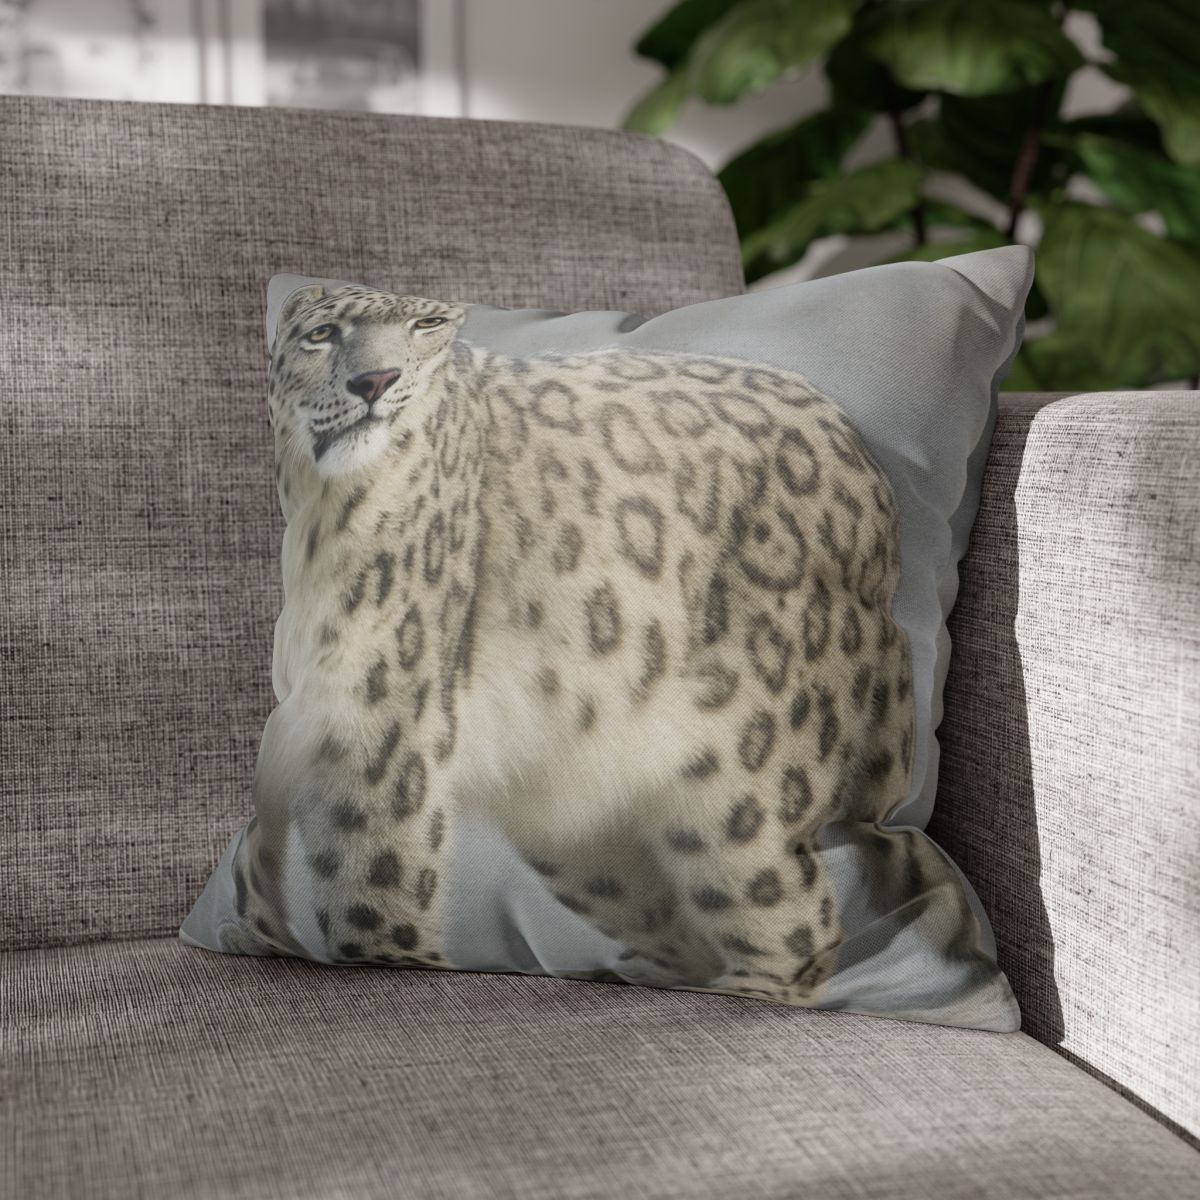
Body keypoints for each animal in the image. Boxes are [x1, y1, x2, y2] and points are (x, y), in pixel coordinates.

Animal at [230, 282, 918, 1006]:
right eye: (322, 333)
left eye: (427, 324)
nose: (375, 380)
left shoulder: (380, 728)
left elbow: (372, 888)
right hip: (580, 828)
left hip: (743, 781)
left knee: (792, 921)